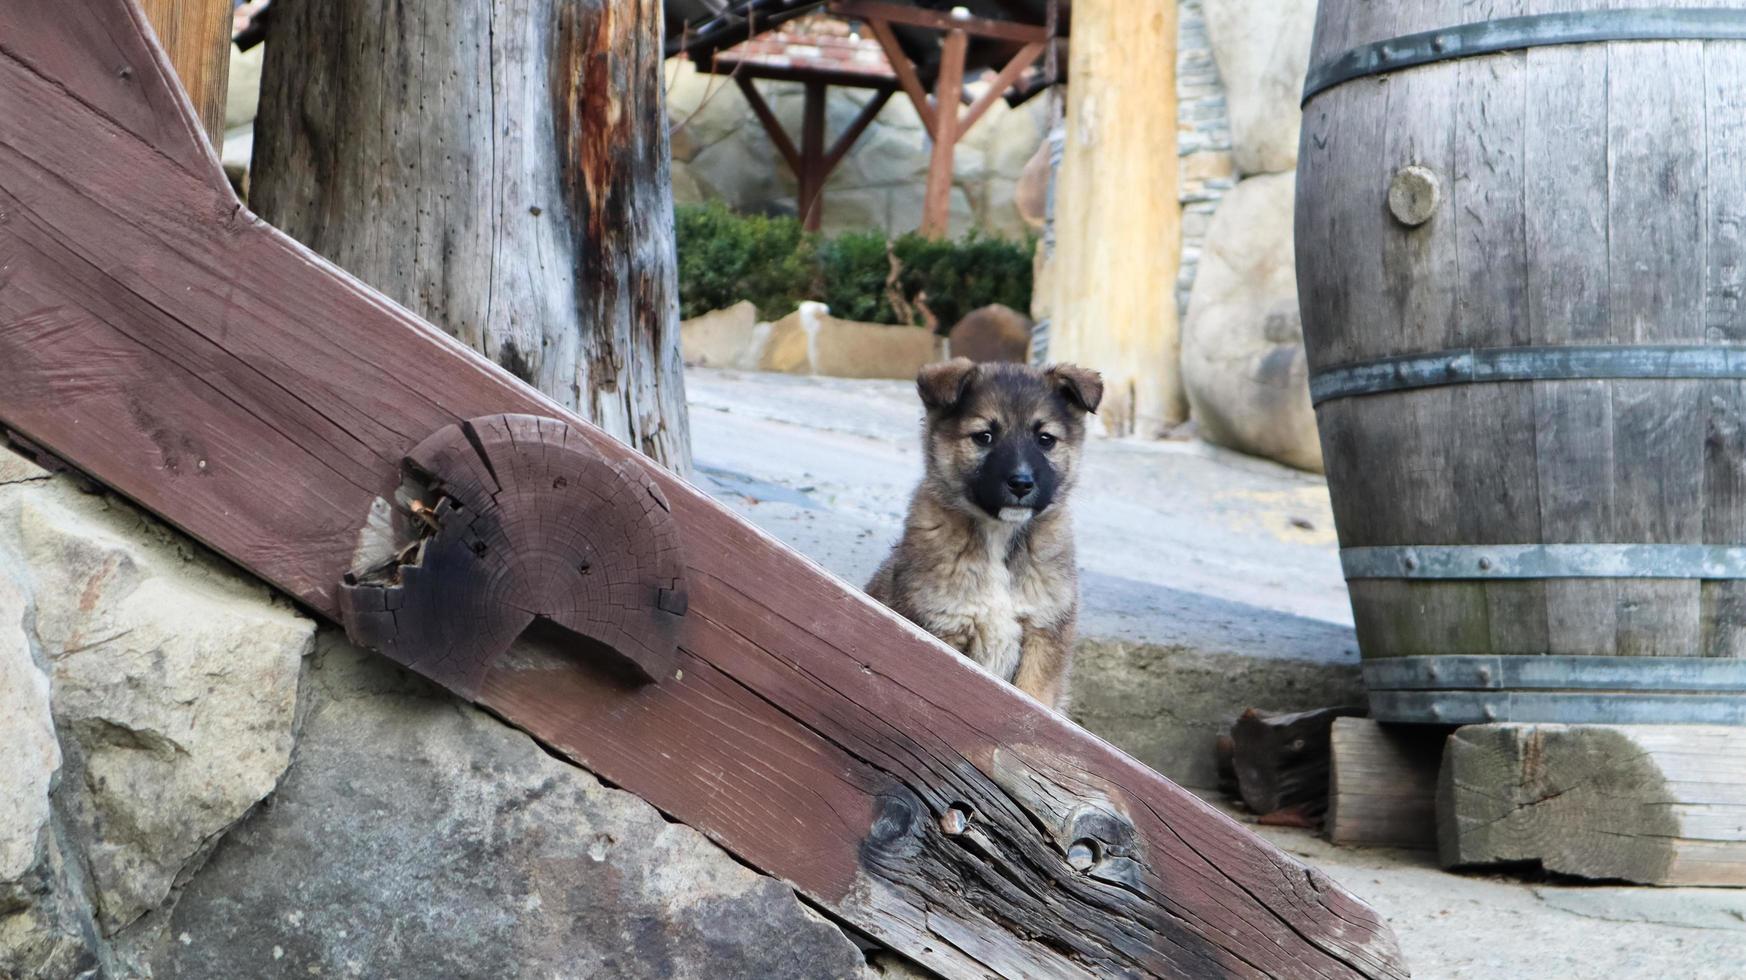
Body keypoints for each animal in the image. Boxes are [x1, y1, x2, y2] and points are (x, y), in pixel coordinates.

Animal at [869, 354, 1103, 705]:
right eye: (984, 437)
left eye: (1045, 439)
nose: (1021, 483)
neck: (999, 537)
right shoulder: (943, 630)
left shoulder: (1043, 633)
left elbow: (1034, 702)